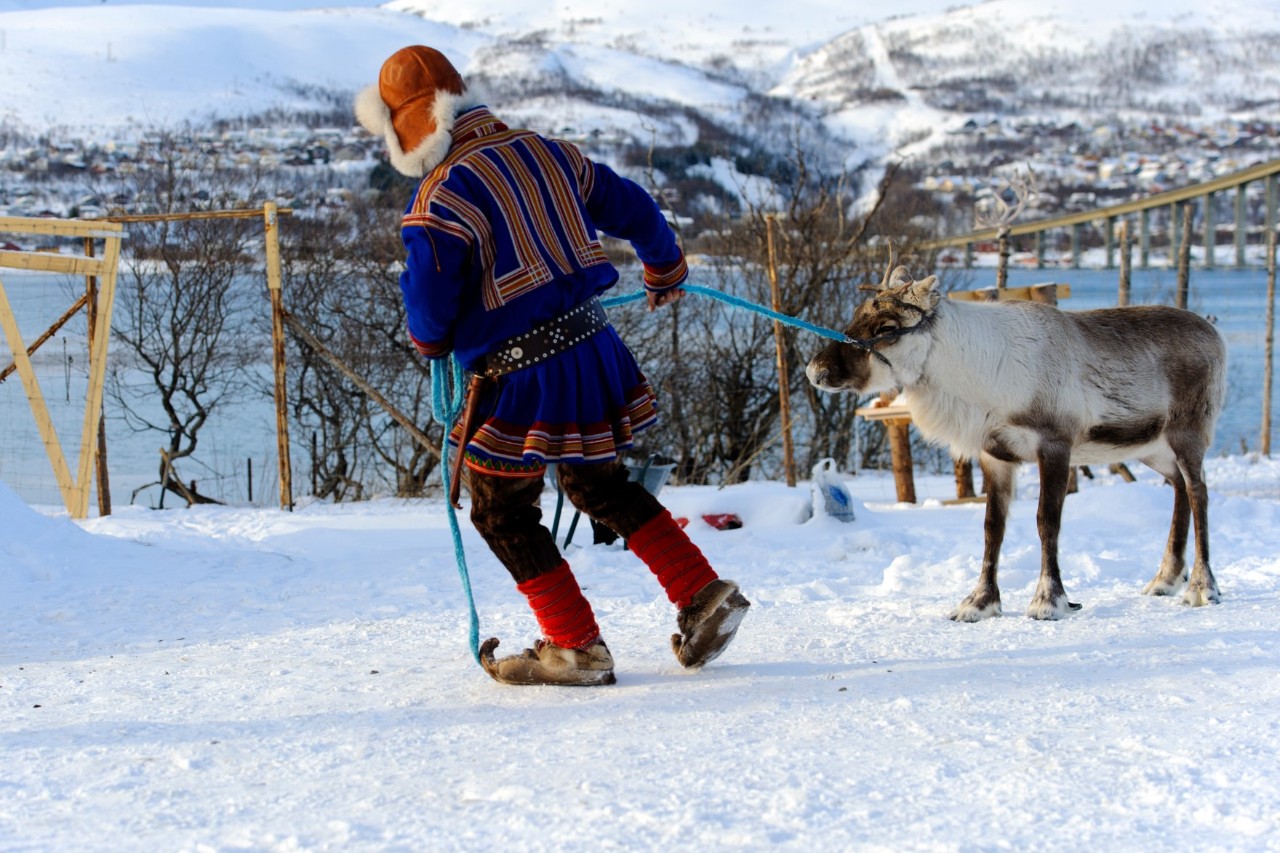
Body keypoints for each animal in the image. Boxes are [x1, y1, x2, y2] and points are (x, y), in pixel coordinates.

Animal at [805, 260, 1227, 621]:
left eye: (886, 327)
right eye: (856, 315)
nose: (816, 370)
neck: (977, 378)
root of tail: (1214, 332)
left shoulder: (1054, 443)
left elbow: (1047, 521)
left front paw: (1048, 601)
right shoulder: (995, 453)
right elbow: (993, 527)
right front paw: (979, 603)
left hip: (1188, 433)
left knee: (1199, 492)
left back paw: (1202, 587)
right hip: (1152, 448)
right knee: (1180, 488)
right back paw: (1165, 579)